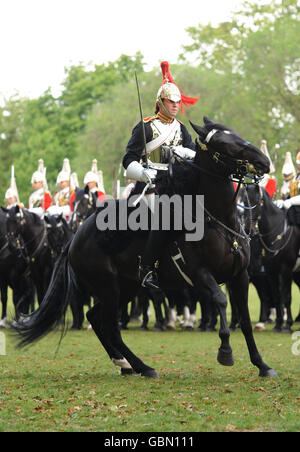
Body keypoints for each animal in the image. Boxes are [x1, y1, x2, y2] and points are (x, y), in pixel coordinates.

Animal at [13, 118, 276, 380]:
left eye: (236, 134)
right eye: (224, 143)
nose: (264, 162)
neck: (217, 219)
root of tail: (77, 236)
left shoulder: (239, 276)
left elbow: (245, 320)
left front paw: (262, 364)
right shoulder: (200, 273)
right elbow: (220, 301)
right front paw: (225, 351)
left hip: (125, 288)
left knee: (96, 318)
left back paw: (125, 363)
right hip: (109, 288)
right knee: (110, 326)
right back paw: (143, 366)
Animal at [243, 184, 300, 332]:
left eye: (256, 202)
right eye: (245, 202)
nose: (247, 229)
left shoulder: (286, 270)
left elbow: (287, 297)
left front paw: (288, 325)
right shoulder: (271, 271)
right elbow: (276, 297)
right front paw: (278, 324)